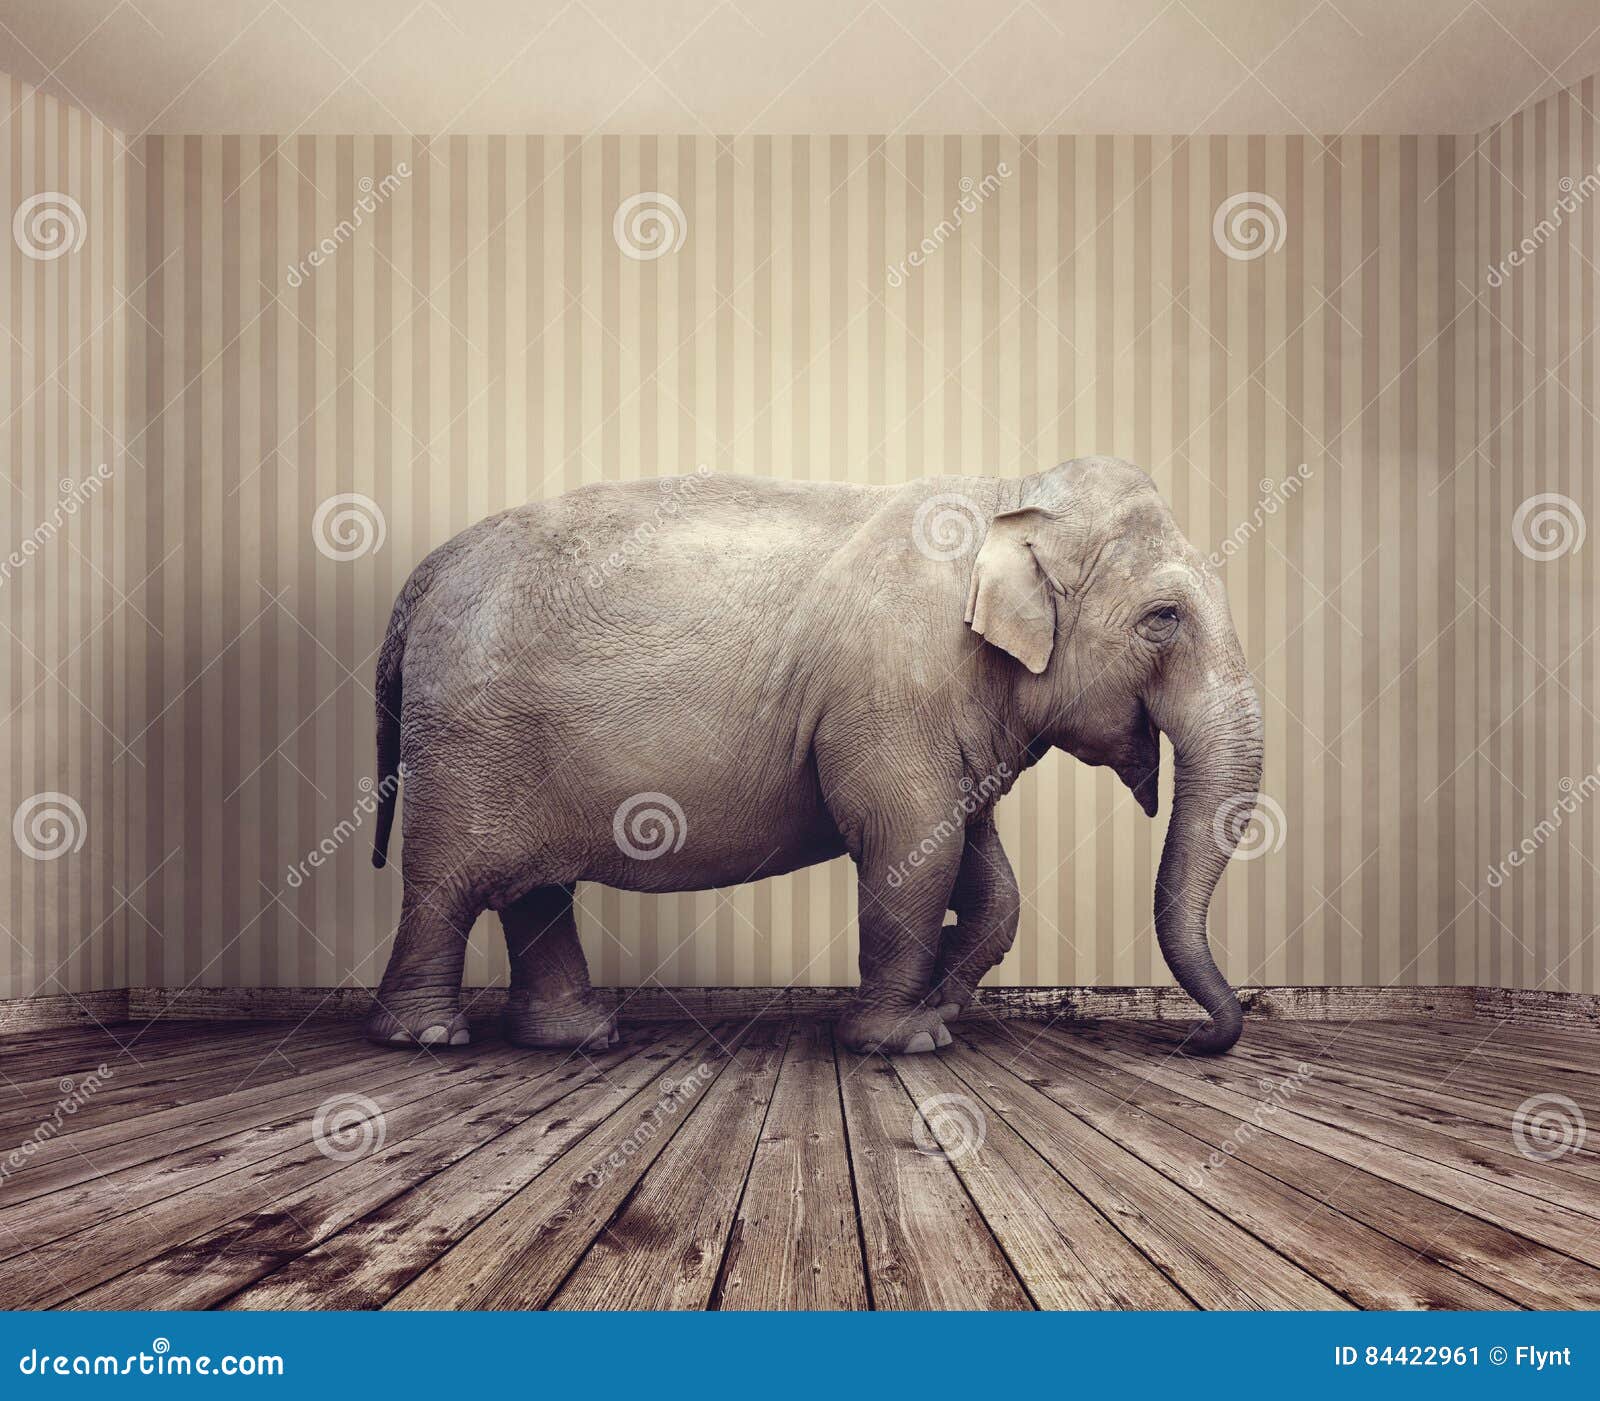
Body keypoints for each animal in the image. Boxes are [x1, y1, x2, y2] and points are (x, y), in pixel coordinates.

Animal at [365, 456, 1264, 1056]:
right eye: (1164, 618)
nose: (1199, 1039)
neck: (1010, 496)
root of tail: (418, 582)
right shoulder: (891, 690)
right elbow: (911, 841)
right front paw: (902, 1038)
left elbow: (981, 866)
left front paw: (940, 999)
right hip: (466, 740)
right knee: (447, 884)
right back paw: (427, 1036)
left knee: (533, 888)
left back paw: (574, 1034)